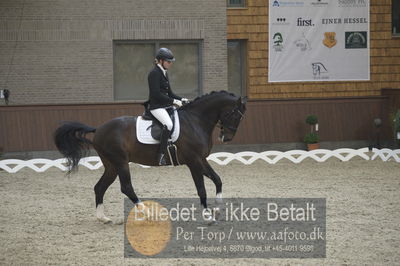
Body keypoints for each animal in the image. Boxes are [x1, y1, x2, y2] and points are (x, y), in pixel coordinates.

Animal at [53, 90, 247, 222]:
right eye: (235, 114)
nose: (227, 137)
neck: (196, 121)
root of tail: (98, 128)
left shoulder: (202, 159)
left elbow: (217, 179)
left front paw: (218, 208)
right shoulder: (193, 161)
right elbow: (201, 188)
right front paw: (207, 215)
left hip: (111, 165)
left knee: (100, 187)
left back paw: (103, 218)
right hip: (120, 162)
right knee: (126, 187)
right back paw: (148, 213)